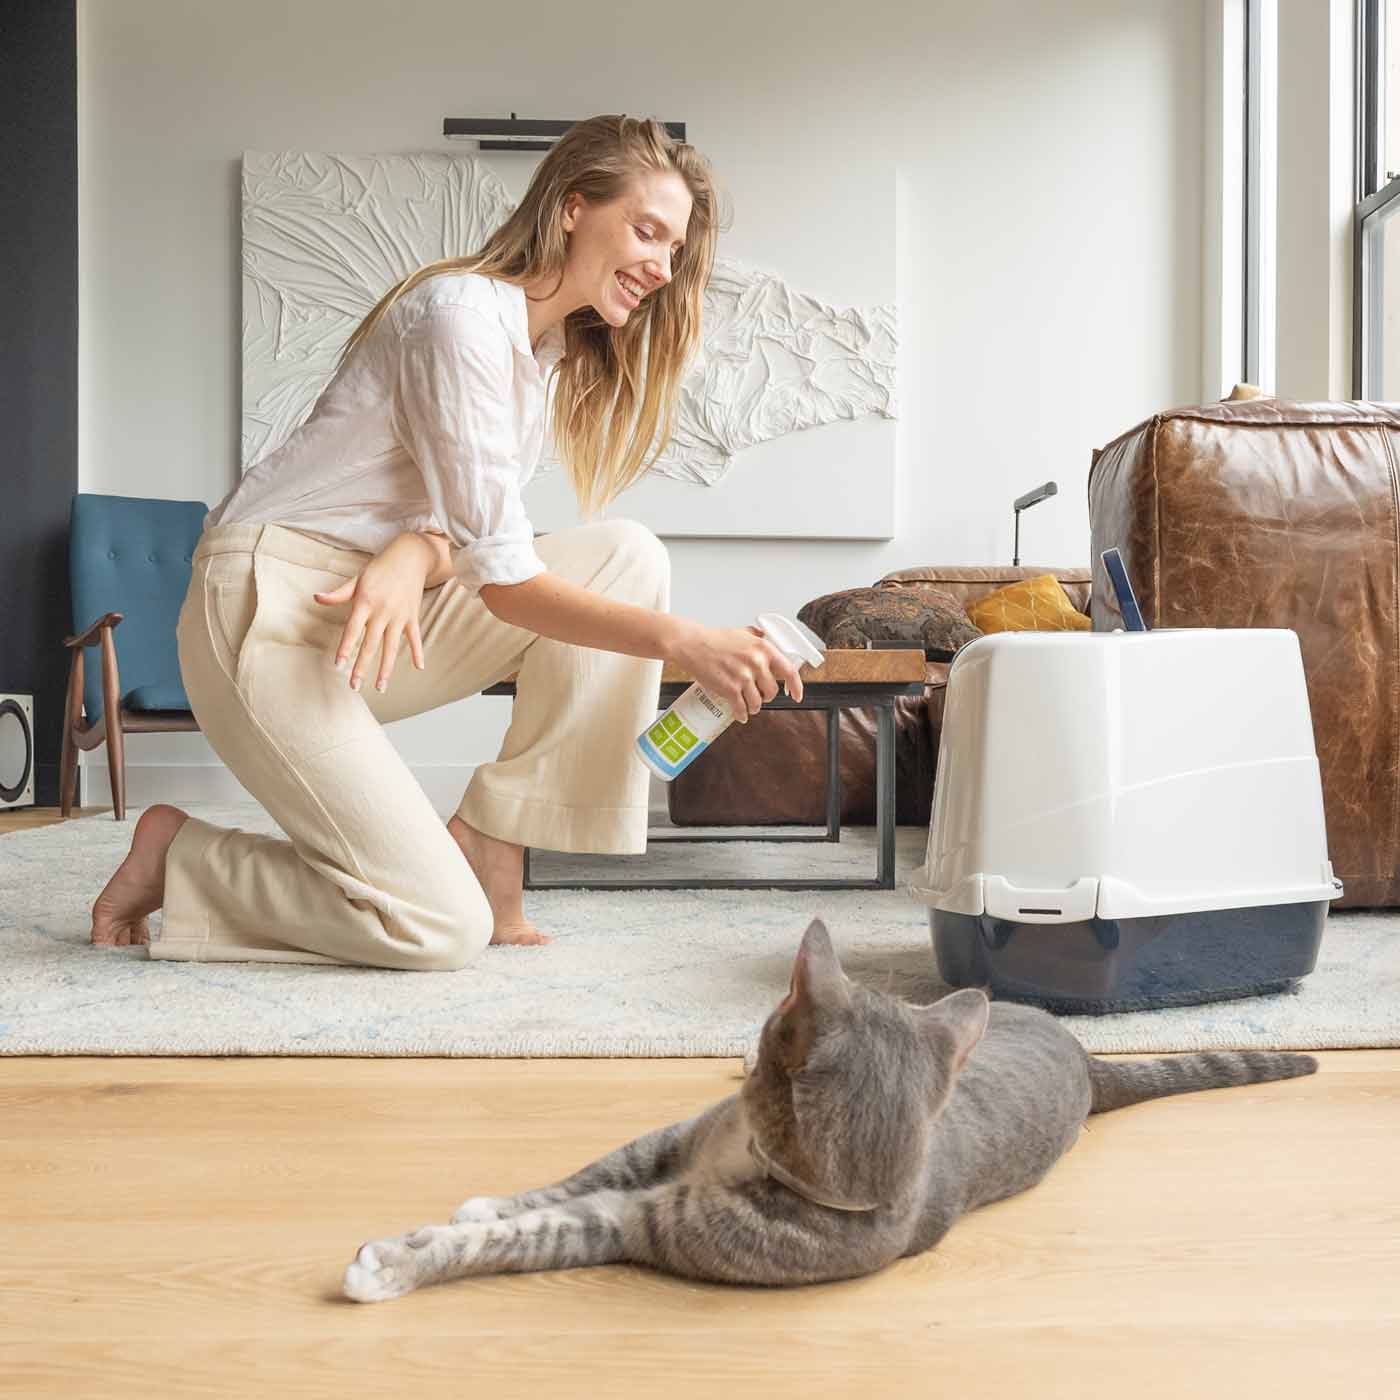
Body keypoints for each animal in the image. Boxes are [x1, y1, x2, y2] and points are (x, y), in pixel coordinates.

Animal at [338, 918, 1310, 1299]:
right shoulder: (666, 1141)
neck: (748, 1155)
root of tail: (1086, 1056)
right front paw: (484, 1202)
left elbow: (535, 1233)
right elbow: (574, 1175)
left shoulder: (646, 1221)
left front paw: (399, 1259)